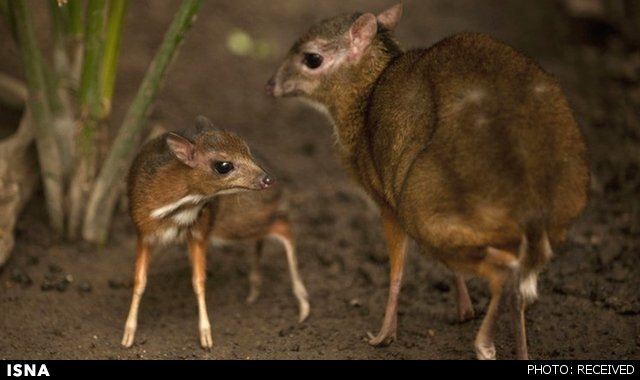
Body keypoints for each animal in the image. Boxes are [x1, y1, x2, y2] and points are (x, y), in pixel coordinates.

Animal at [122, 116, 310, 350]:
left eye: (247, 150)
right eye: (223, 166)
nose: (267, 179)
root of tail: (280, 190)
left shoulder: (200, 231)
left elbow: (198, 281)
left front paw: (206, 336)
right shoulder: (144, 233)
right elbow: (139, 281)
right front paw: (128, 334)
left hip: (235, 223)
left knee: (284, 227)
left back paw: (302, 304)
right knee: (272, 231)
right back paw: (255, 290)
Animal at [268, 3, 588, 360]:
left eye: (312, 58)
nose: (271, 84)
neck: (365, 97)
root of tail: (529, 193)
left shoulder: (386, 203)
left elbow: (397, 272)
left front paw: (384, 335)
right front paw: (464, 310)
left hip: (422, 210)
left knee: (504, 273)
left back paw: (484, 345)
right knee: (518, 286)